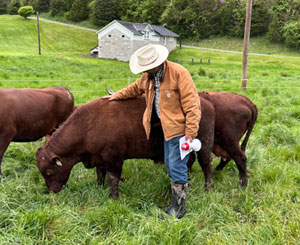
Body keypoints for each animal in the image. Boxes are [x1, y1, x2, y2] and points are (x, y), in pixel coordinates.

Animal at [35, 95, 216, 199]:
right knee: (189, 163)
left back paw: (208, 189)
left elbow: (113, 178)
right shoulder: (99, 159)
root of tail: (206, 103)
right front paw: (99, 188)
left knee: (206, 165)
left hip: (203, 146)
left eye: (49, 171)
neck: (88, 125)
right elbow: (100, 175)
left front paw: (113, 197)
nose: (52, 191)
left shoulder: (114, 159)